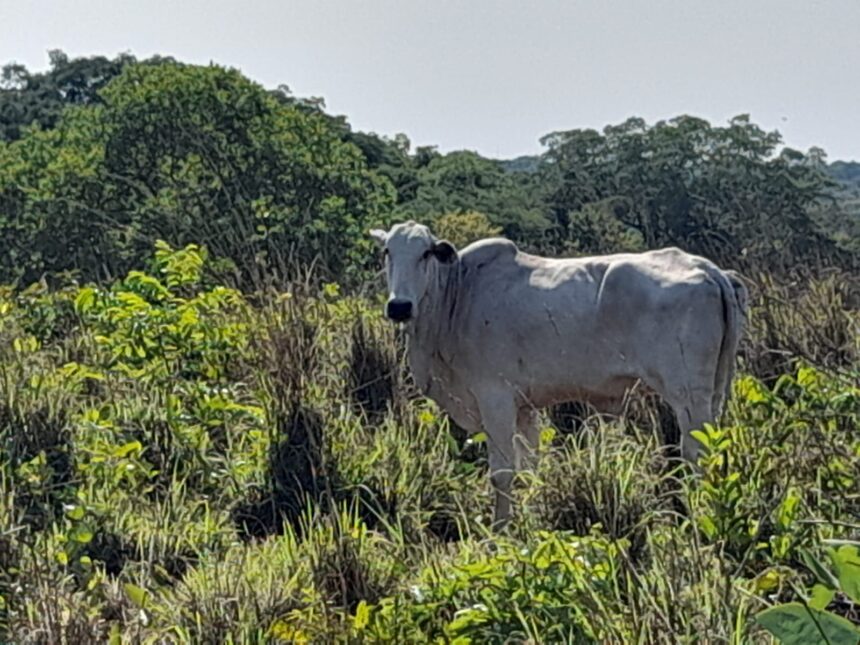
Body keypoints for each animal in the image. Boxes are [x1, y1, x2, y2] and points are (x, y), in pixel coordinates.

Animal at [370, 220, 744, 524]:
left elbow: (502, 473)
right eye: (387, 251)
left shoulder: (495, 398)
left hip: (687, 396)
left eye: (426, 254)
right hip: (711, 394)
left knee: (697, 453)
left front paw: (500, 529)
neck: (458, 296)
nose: (399, 306)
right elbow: (529, 468)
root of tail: (710, 269)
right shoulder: (523, 408)